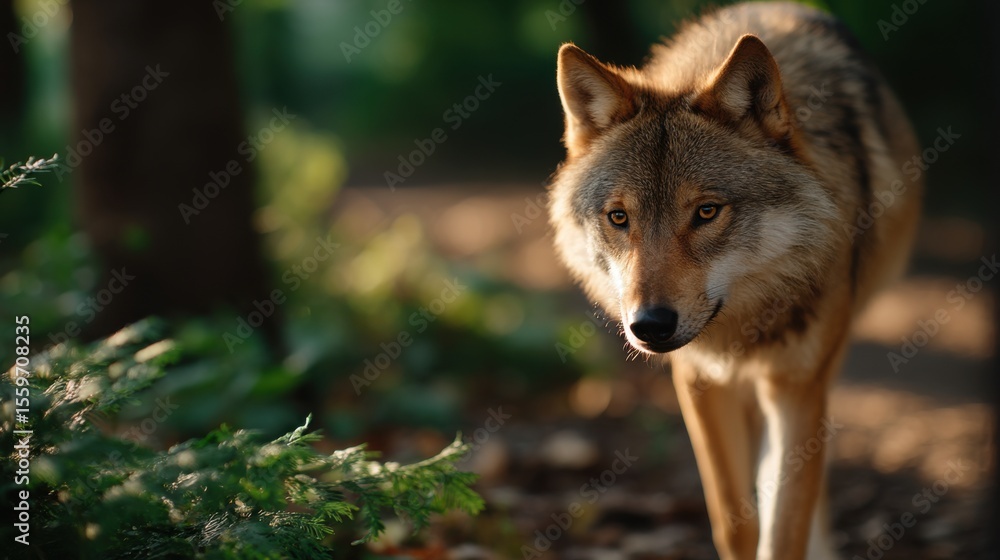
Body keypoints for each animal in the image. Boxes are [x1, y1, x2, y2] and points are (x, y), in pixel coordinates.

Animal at [548, 2, 922, 559]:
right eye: (619, 218)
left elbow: (785, 526)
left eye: (706, 212)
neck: (746, 325)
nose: (649, 326)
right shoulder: (699, 381)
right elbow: (733, 521)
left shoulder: (796, 387)